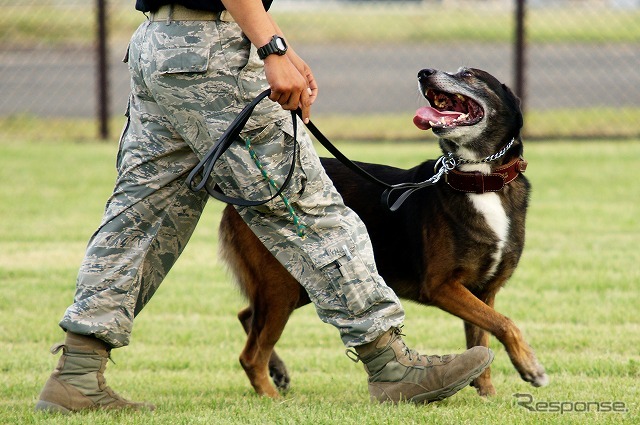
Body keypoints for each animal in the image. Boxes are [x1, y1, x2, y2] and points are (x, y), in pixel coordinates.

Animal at [218, 68, 548, 400]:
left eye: (468, 74)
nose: (424, 72)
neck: (480, 180)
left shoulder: (483, 291)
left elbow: (484, 337)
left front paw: (488, 394)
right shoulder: (442, 286)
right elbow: (505, 324)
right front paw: (530, 366)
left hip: (304, 285)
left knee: (246, 316)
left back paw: (278, 372)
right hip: (283, 287)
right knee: (250, 355)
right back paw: (271, 398)